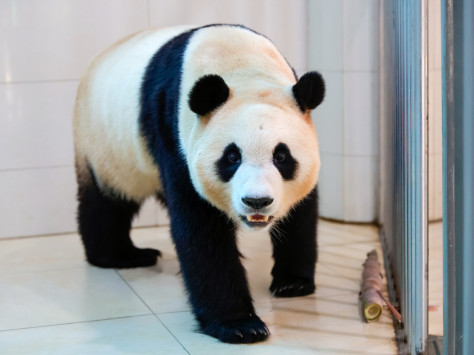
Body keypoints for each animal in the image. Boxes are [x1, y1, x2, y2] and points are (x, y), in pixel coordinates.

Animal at [73, 24, 326, 344]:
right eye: (231, 156)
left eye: (281, 156)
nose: (257, 201)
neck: (241, 63)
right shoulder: (175, 136)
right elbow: (201, 232)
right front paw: (240, 325)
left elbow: (301, 216)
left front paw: (292, 283)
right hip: (105, 145)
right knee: (106, 202)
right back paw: (122, 255)